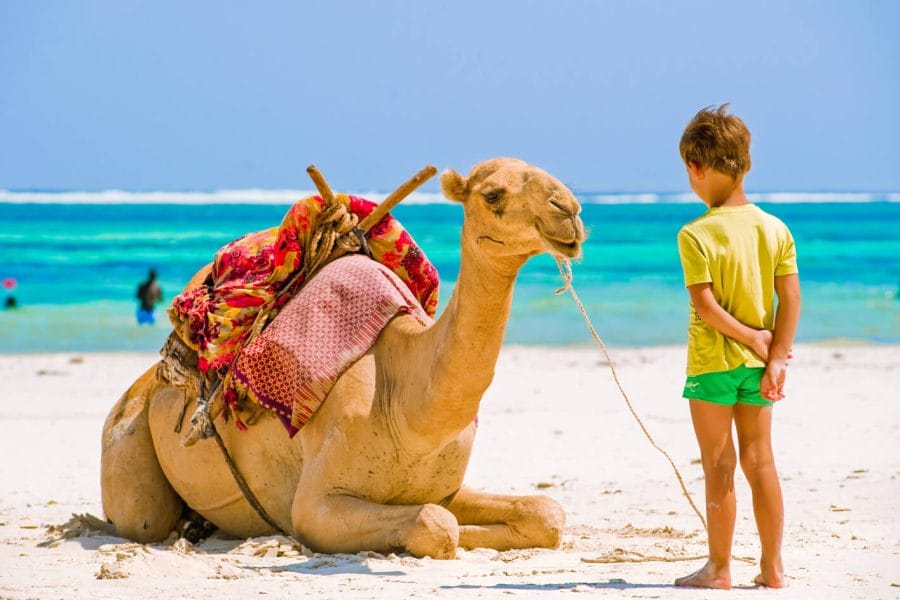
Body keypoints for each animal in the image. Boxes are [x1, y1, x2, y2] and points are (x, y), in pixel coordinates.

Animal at [102, 158, 588, 556]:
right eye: (493, 194)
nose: (570, 211)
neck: (407, 406)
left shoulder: (445, 487)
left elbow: (543, 512)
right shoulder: (316, 505)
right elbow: (437, 524)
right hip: (128, 445)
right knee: (142, 519)